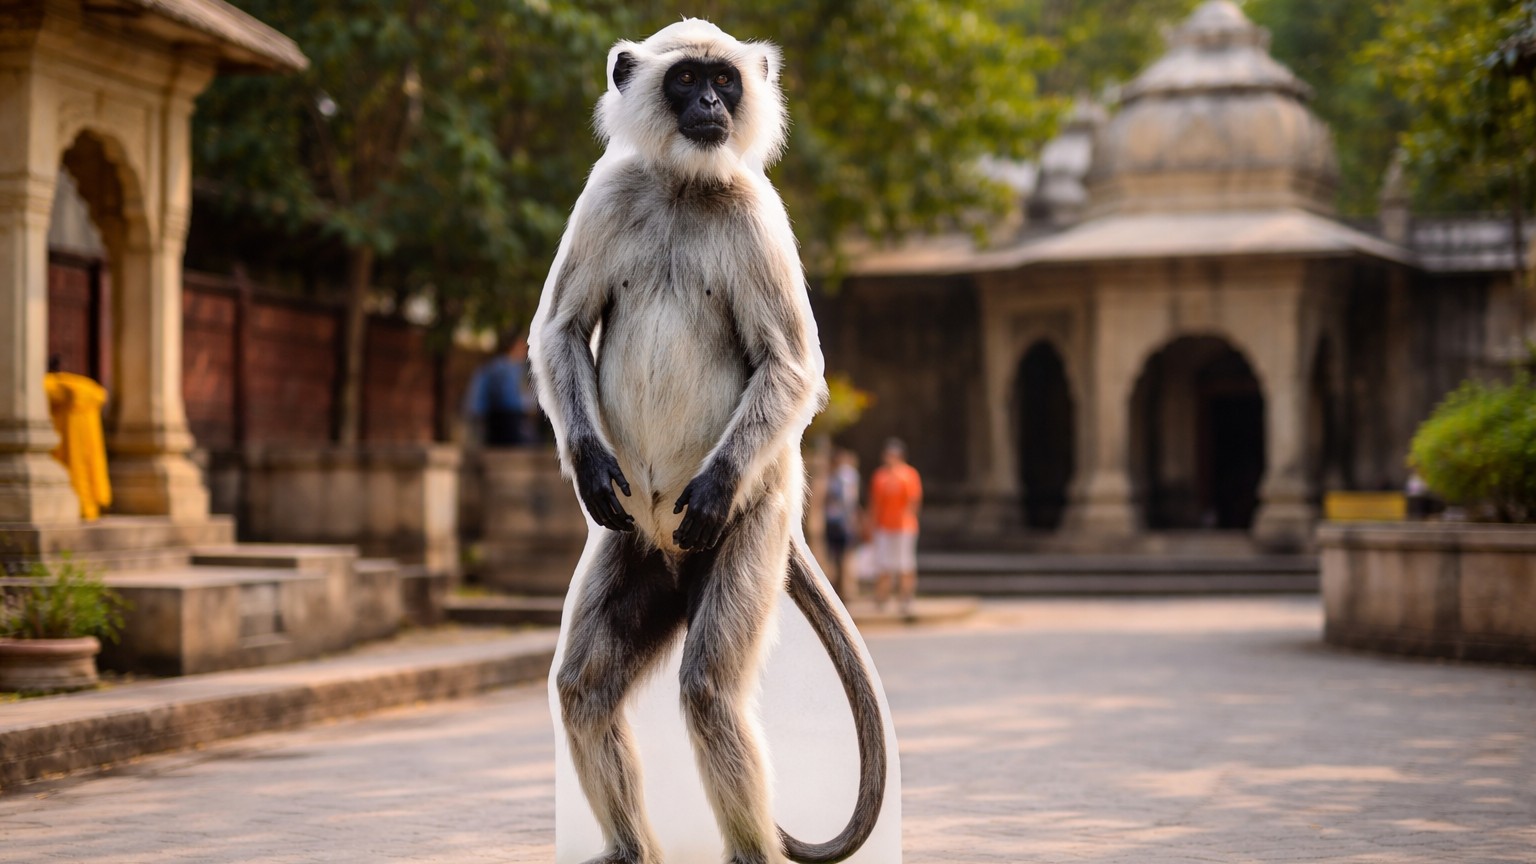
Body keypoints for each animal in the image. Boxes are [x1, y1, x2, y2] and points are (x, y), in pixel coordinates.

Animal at [528, 19, 889, 864]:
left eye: (724, 81)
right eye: (686, 80)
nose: (711, 109)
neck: (685, 189)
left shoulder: (759, 212)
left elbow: (790, 366)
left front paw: (715, 483)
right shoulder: (606, 194)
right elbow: (562, 329)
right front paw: (588, 467)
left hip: (753, 529)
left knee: (712, 693)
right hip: (634, 542)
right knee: (584, 689)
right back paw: (630, 849)